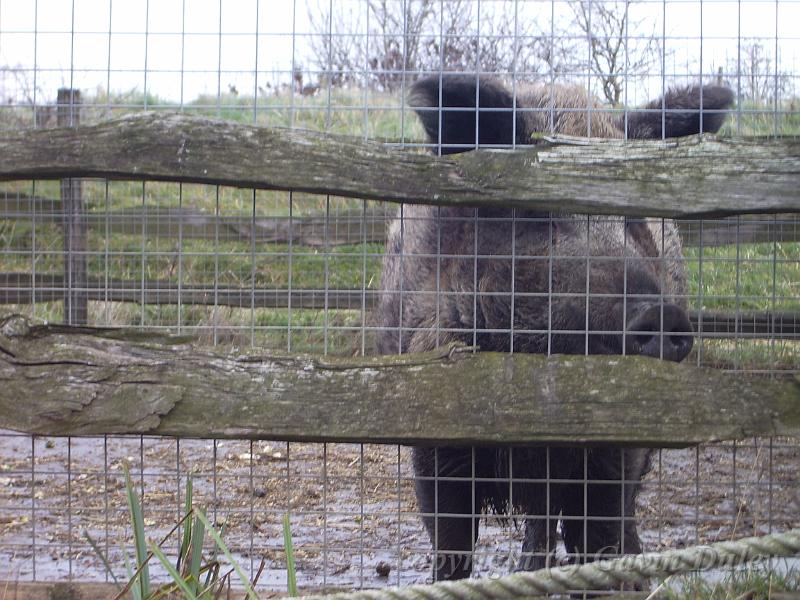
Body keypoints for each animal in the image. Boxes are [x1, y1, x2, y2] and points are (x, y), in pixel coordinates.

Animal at [376, 75, 732, 580]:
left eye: (634, 219)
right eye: (542, 215)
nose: (662, 315)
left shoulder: (613, 457)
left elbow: (599, 541)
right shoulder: (432, 449)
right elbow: (451, 547)